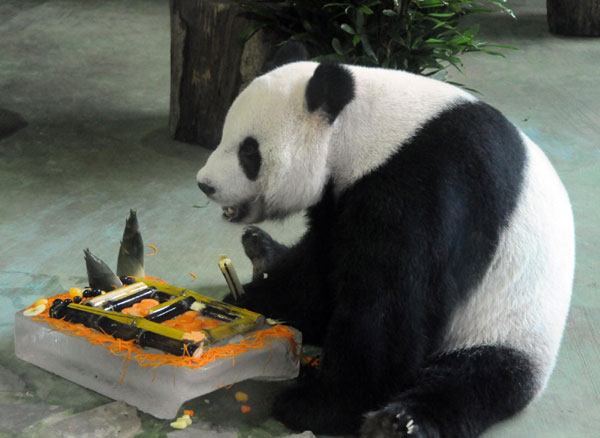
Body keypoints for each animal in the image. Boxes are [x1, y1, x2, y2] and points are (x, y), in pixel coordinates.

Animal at [195, 50, 576, 434]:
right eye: (224, 135)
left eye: (249, 152)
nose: (205, 184)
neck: (367, 133)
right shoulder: (339, 197)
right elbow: (320, 268)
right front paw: (251, 301)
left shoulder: (427, 185)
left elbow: (389, 303)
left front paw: (319, 406)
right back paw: (262, 250)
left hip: (509, 325)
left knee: (475, 379)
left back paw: (398, 422)